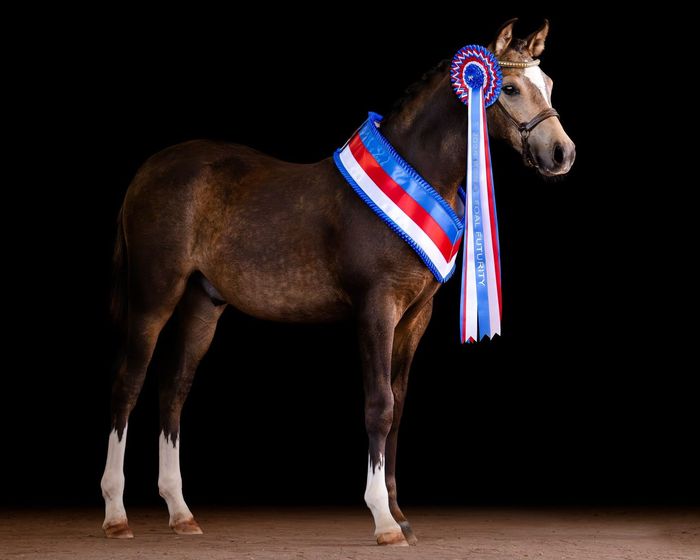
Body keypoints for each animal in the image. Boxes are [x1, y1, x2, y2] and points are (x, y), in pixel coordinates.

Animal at [100, 18, 575, 546]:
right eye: (508, 88)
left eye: (547, 84)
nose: (562, 153)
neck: (412, 178)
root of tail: (148, 172)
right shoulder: (376, 310)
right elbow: (379, 405)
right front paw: (383, 520)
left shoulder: (415, 318)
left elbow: (398, 409)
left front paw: (400, 514)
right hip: (153, 297)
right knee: (127, 384)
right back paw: (116, 514)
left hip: (203, 304)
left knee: (174, 389)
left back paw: (181, 513)